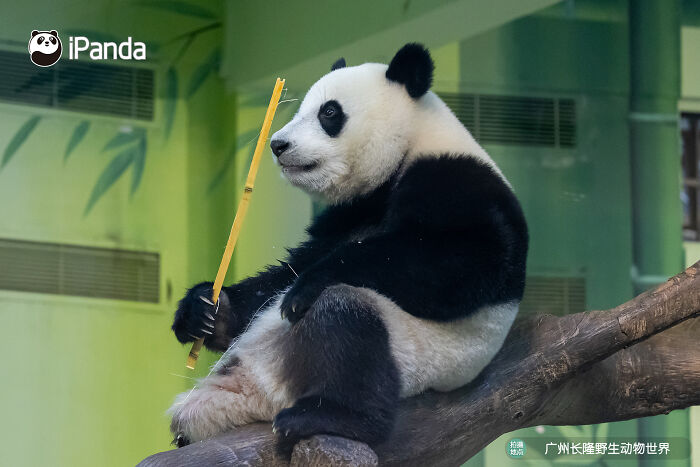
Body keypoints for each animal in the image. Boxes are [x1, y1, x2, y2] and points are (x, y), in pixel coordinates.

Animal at [169, 43, 528, 455]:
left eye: (329, 112)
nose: (277, 145)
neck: (413, 143)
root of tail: (262, 394)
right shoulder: (350, 211)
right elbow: (291, 266)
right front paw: (205, 311)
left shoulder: (457, 182)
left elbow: (464, 261)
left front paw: (304, 290)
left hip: (412, 351)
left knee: (345, 322)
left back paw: (327, 416)